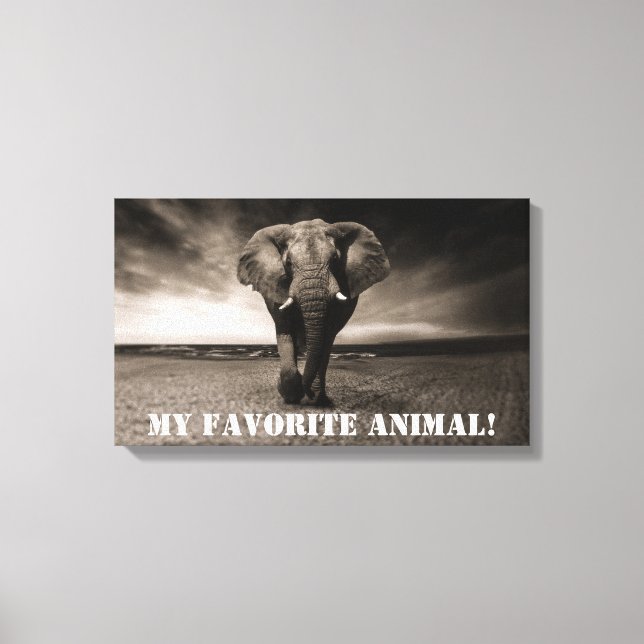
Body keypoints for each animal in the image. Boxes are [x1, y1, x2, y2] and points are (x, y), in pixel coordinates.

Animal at [237, 218, 390, 405]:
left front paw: (310, 396)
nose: (308, 393)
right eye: (288, 263)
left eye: (335, 259)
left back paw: (318, 399)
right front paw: (290, 394)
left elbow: (326, 336)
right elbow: (285, 330)